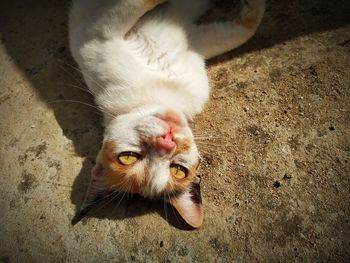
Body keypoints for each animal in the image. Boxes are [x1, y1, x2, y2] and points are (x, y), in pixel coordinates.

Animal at [69, 0, 266, 229]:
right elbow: (139, 3)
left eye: (178, 170)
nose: (167, 141)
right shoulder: (101, 30)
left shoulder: (198, 41)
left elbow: (245, 30)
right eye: (128, 157)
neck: (162, 94)